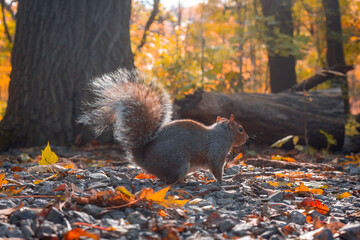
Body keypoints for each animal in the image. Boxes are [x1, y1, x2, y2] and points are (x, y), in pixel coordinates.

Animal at [78, 68, 248, 185]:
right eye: (240, 129)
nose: (247, 138)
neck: (222, 133)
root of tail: (145, 161)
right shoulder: (216, 153)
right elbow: (216, 169)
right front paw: (223, 181)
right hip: (179, 160)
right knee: (168, 180)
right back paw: (182, 181)